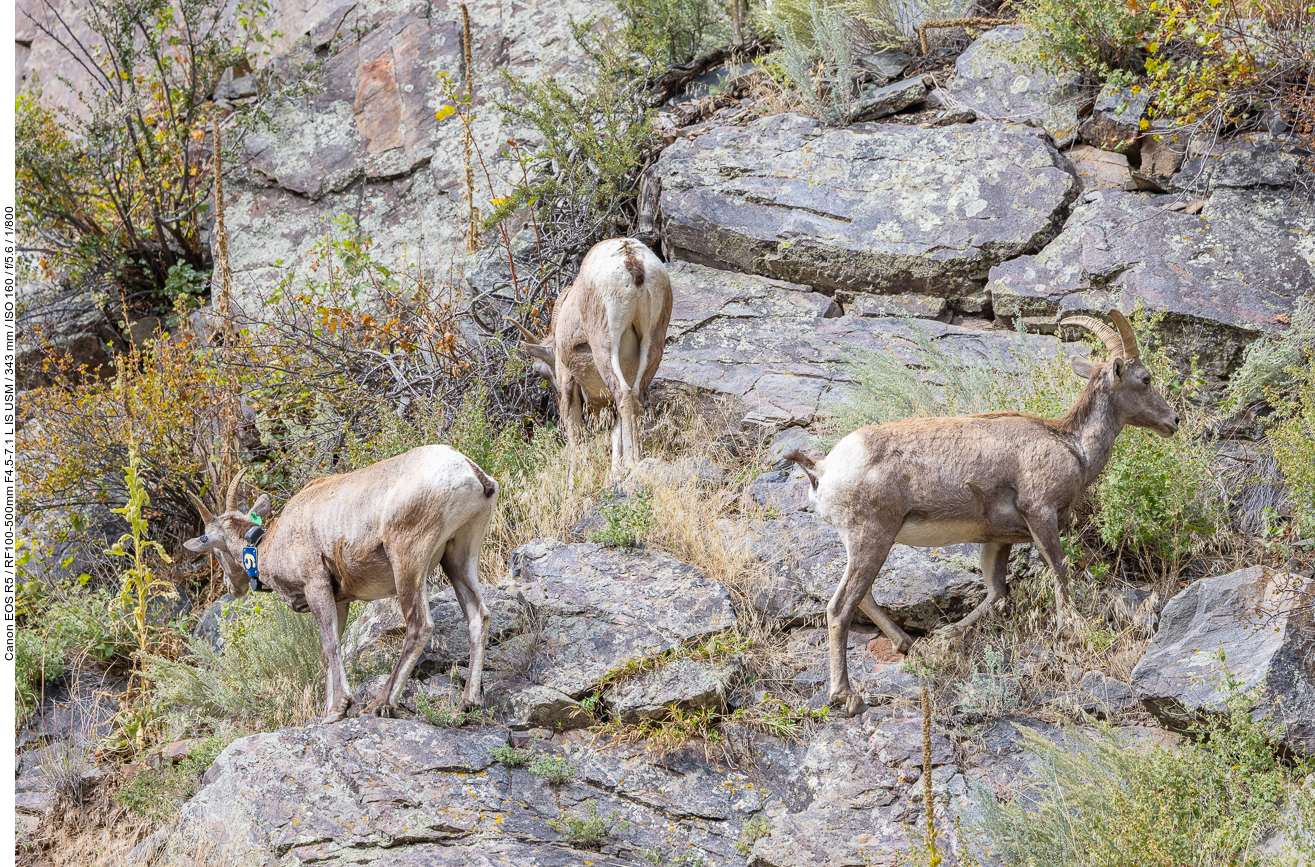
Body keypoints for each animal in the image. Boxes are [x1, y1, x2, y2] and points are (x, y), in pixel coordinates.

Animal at [180, 444, 497, 720]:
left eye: (214, 549)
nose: (232, 587)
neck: (269, 546)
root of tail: (471, 472)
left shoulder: (316, 585)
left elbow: (331, 645)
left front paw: (338, 710)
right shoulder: (339, 600)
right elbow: (325, 652)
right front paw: (328, 711)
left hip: (408, 560)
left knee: (419, 626)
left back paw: (379, 705)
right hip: (459, 555)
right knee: (478, 616)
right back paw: (467, 704)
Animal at [507, 236, 673, 473]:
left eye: (540, 371)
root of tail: (631, 258)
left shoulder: (568, 383)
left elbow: (574, 436)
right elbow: (615, 433)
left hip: (605, 347)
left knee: (623, 393)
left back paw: (631, 462)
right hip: (652, 343)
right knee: (636, 397)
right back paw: (636, 459)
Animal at [789, 311, 1183, 720]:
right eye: (1146, 379)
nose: (1174, 420)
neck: (1071, 446)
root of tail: (822, 469)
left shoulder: (997, 539)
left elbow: (996, 592)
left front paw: (944, 637)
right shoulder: (1041, 516)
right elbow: (1060, 575)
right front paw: (1070, 633)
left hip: (866, 543)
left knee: (863, 597)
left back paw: (909, 645)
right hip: (872, 538)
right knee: (840, 608)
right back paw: (846, 696)